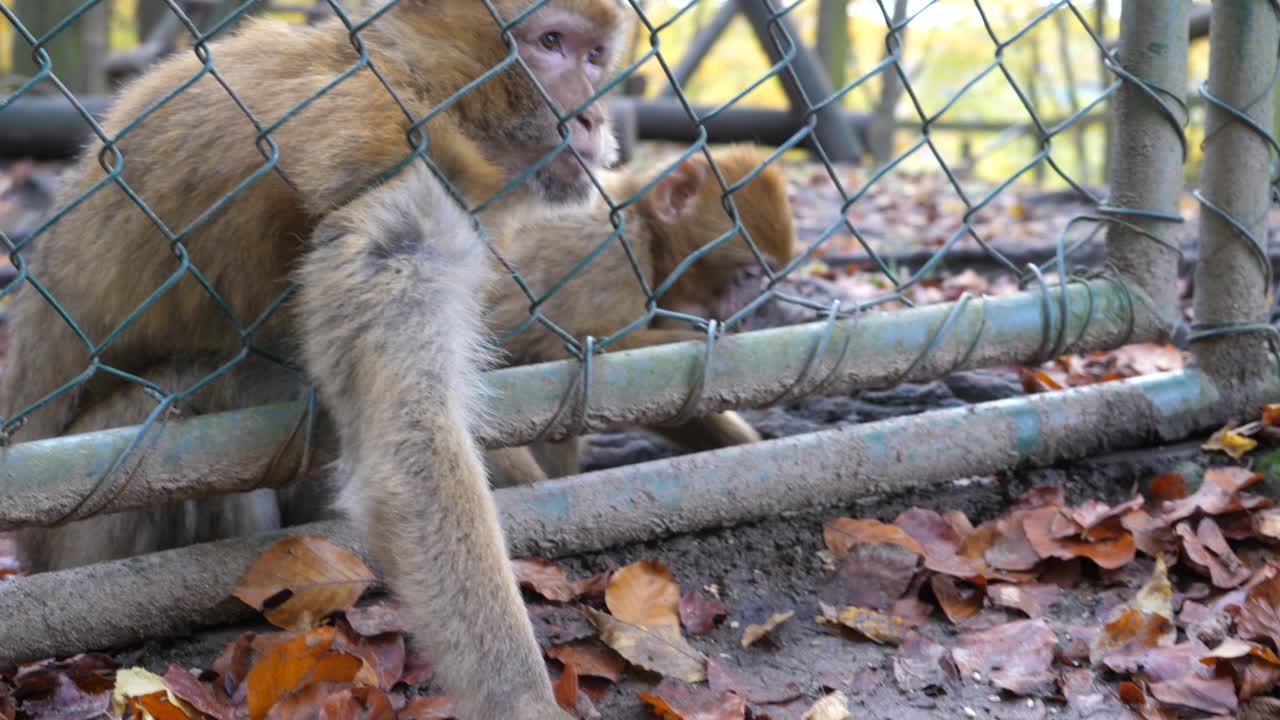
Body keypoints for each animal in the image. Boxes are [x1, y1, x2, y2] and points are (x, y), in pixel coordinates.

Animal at [1, 2, 631, 718]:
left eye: (594, 56)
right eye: (551, 43)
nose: (592, 117)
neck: (418, 84)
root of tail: (31, 550)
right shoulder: (396, 171)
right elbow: (408, 453)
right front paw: (523, 700)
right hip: (82, 536)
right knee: (213, 392)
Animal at [482, 145, 798, 487]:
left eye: (764, 277)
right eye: (750, 274)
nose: (746, 314)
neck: (644, 226)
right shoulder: (604, 252)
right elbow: (568, 358)